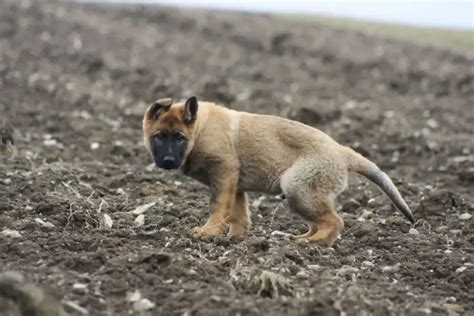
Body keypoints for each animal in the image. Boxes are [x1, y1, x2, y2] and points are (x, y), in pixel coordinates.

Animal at [143, 96, 412, 247]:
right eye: (159, 136)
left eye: (179, 137)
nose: (168, 160)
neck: (199, 130)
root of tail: (342, 151)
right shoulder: (236, 185)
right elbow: (238, 215)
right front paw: (235, 238)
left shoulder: (224, 173)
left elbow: (219, 208)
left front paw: (207, 232)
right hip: (306, 193)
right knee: (320, 221)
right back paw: (303, 238)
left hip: (298, 187)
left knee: (335, 221)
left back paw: (315, 244)